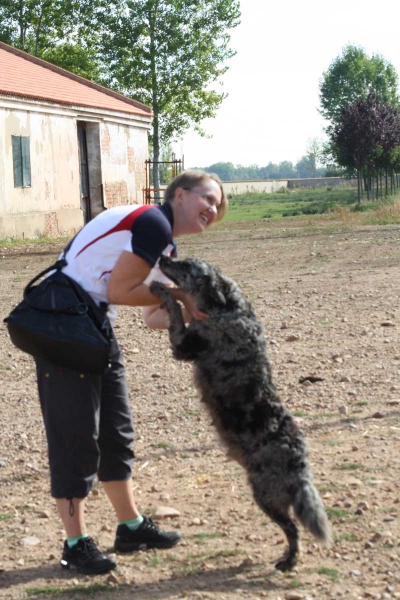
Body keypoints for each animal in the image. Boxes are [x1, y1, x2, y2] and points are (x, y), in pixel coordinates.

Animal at [150, 254, 332, 572]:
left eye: (186, 265)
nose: (162, 257)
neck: (227, 308)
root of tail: (300, 464)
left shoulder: (182, 344)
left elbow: (175, 309)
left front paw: (162, 291)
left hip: (265, 497)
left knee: (294, 530)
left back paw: (288, 561)